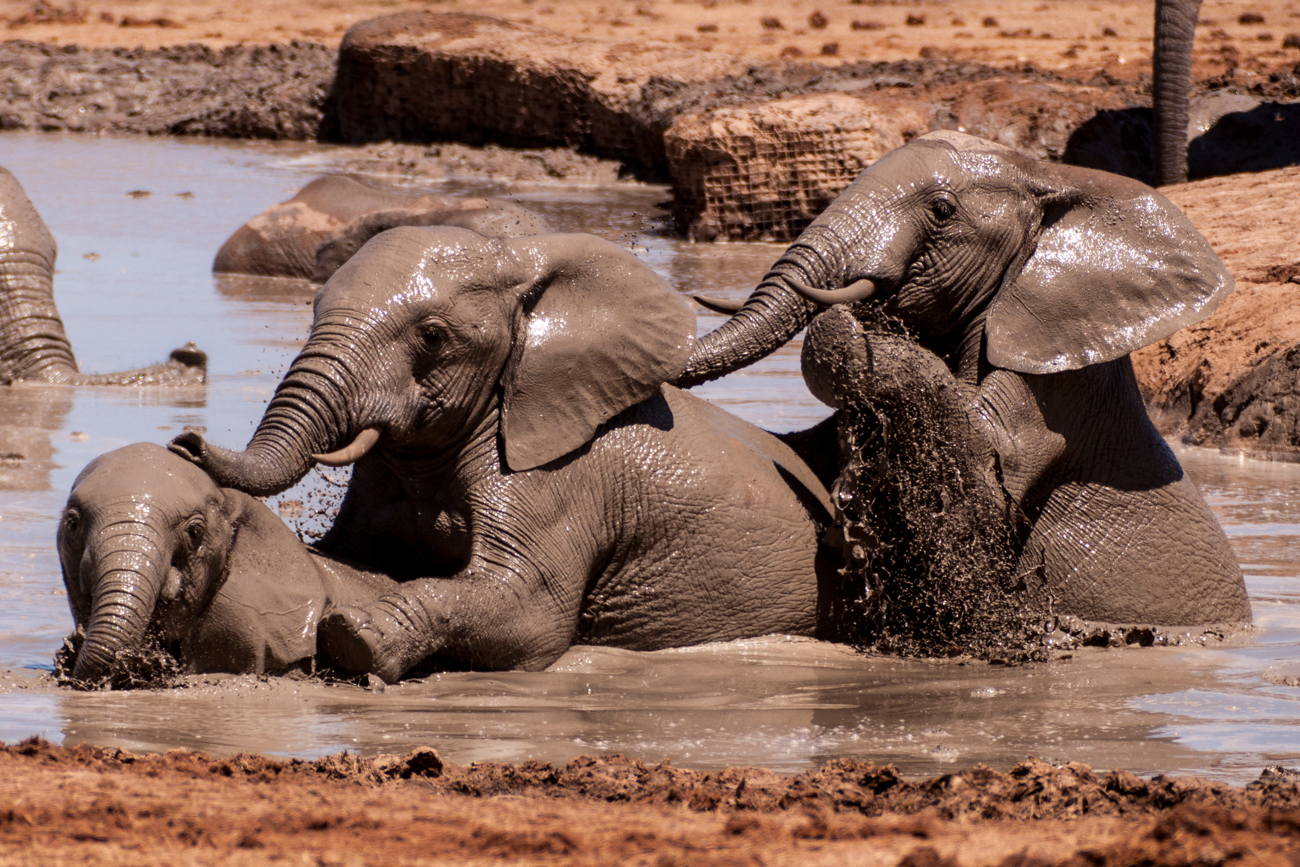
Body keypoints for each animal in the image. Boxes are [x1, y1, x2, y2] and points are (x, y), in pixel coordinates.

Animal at [170, 226, 842, 686]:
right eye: (312, 313)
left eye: (432, 337)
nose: (187, 440)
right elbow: (343, 561)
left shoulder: (564, 477)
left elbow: (528, 609)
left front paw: (356, 636)